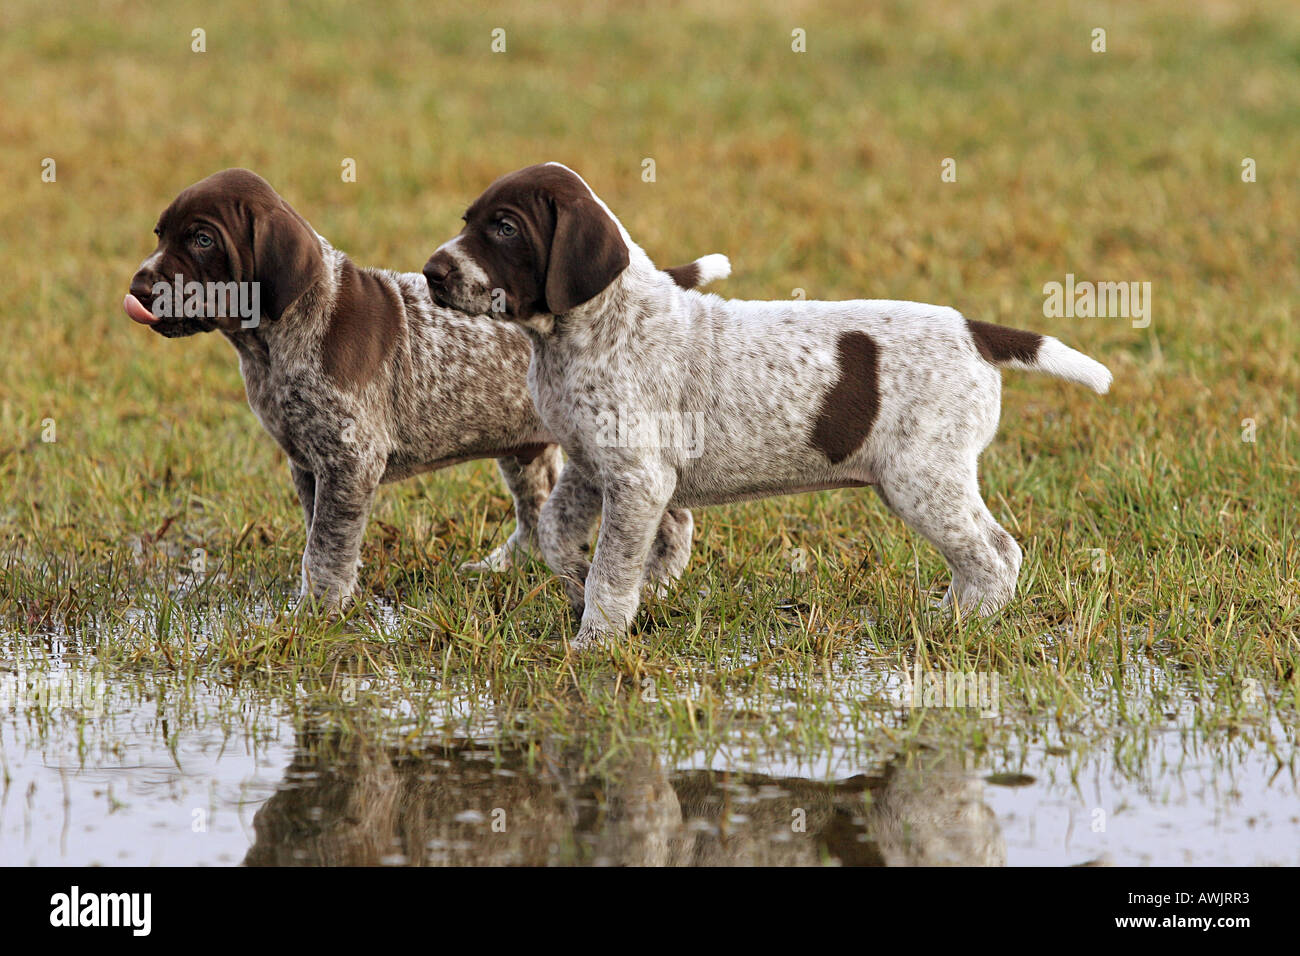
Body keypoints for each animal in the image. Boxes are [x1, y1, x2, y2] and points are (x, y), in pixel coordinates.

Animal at [126, 167, 728, 608]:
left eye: (203, 239)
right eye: (159, 235)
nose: (137, 287)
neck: (273, 343)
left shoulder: (349, 462)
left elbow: (326, 550)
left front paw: (316, 612)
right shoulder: (308, 465)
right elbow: (320, 538)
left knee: (671, 516)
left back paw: (660, 581)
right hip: (524, 445)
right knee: (535, 509)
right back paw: (508, 567)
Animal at [421, 162, 1112, 650]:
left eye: (505, 227)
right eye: (468, 220)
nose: (432, 273)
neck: (583, 331)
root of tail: (974, 330)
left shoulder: (638, 481)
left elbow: (611, 573)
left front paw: (595, 642)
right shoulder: (593, 468)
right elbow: (558, 538)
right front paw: (582, 594)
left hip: (923, 479)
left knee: (994, 555)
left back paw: (958, 628)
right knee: (986, 554)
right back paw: (946, 615)